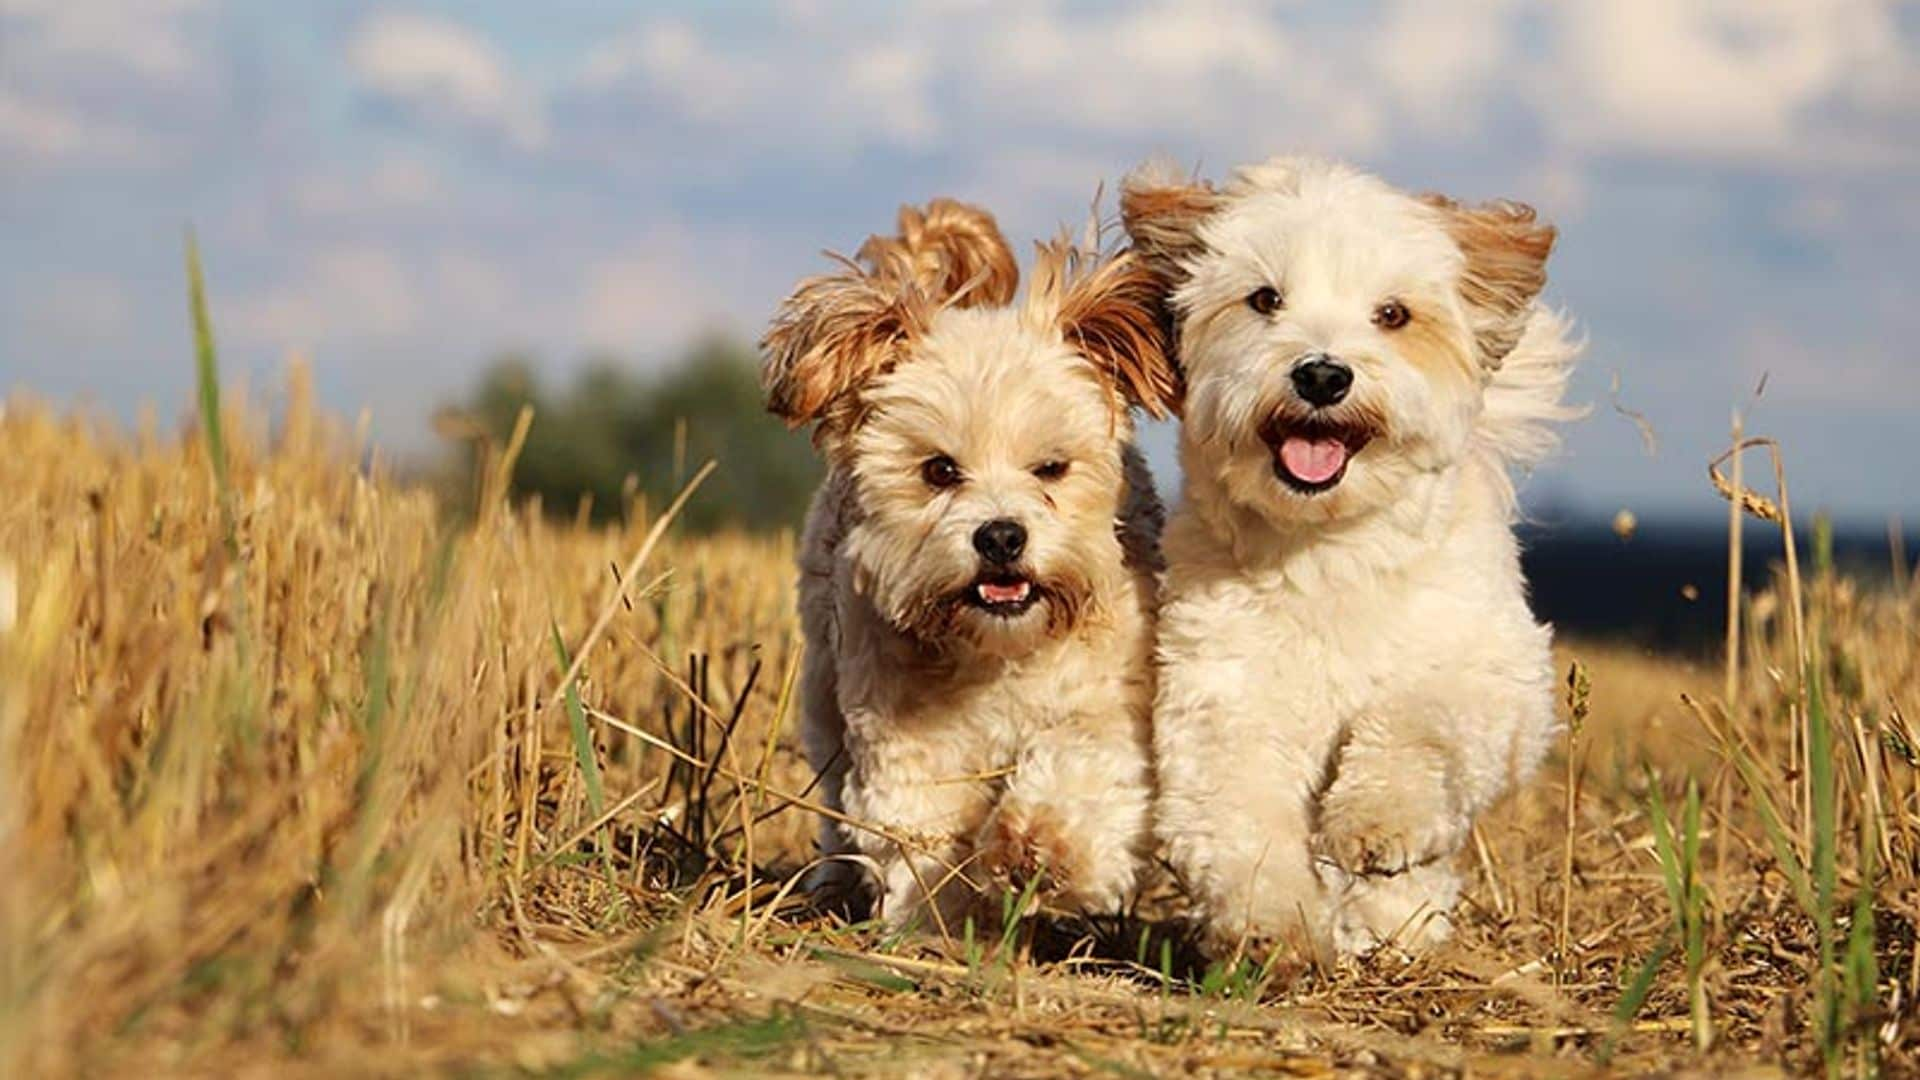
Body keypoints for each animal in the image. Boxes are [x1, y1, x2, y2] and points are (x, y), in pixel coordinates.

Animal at [756, 201, 1175, 933]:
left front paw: (1039, 850)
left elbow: (1085, 771)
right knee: (832, 798)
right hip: (823, 692)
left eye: (1051, 467)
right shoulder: (904, 739)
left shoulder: (1112, 702)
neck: (1000, 656)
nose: (1001, 535)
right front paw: (939, 925)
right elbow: (920, 830)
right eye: (939, 470)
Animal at [1121, 155, 1582, 953]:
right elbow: (1239, 821)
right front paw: (1272, 924)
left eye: (1392, 315)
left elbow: (1417, 723)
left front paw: (1377, 817)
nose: (1322, 374)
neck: (1330, 549)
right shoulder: (1220, 703)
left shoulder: (1492, 677)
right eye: (1264, 299)